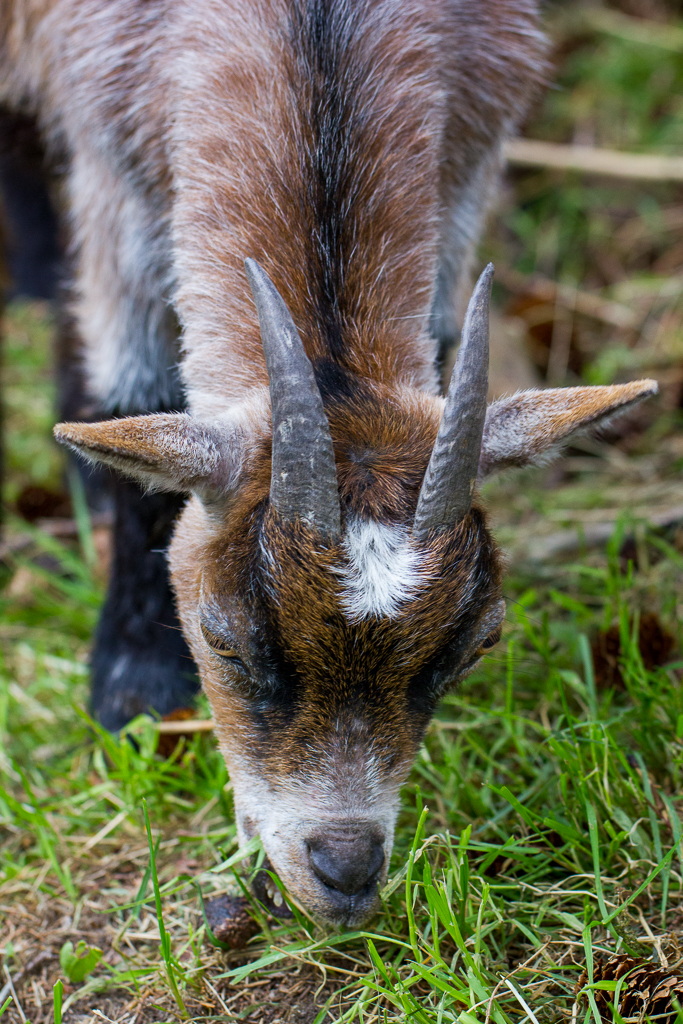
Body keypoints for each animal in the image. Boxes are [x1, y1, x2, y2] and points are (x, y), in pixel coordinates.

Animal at [1, 0, 656, 926]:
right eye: (225, 643)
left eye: (472, 647)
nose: (344, 872)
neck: (314, 33)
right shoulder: (107, 149)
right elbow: (129, 375)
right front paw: (132, 683)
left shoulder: (478, 125)